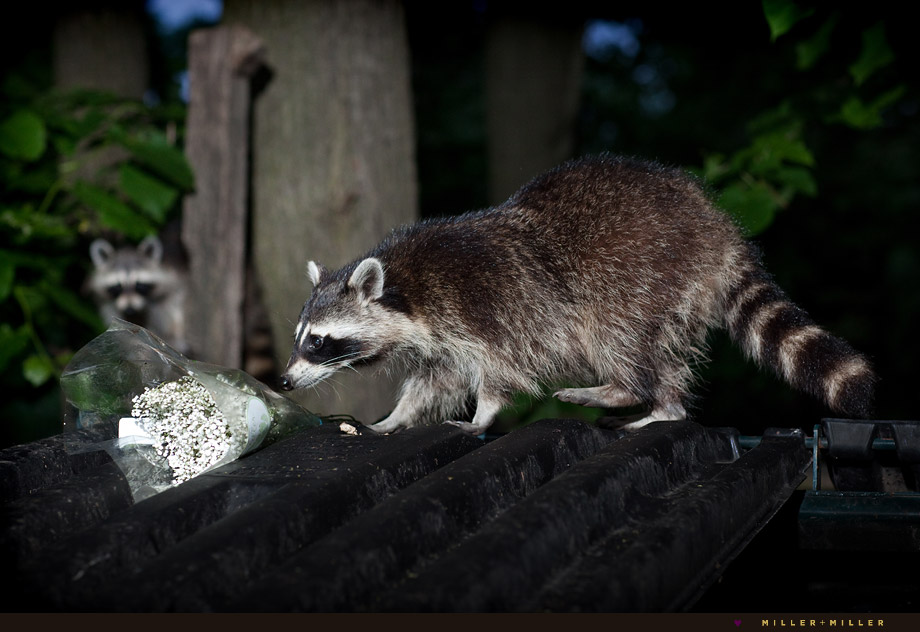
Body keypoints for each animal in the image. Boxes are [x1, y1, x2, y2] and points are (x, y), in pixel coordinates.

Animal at [280, 154, 875, 435]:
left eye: (319, 342)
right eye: (300, 337)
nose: (284, 380)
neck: (409, 286)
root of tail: (718, 227)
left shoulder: (488, 306)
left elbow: (499, 370)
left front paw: (483, 414)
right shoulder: (438, 341)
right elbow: (433, 382)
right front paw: (395, 418)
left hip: (640, 271)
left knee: (620, 334)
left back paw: (629, 392)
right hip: (675, 289)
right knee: (664, 354)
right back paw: (665, 405)